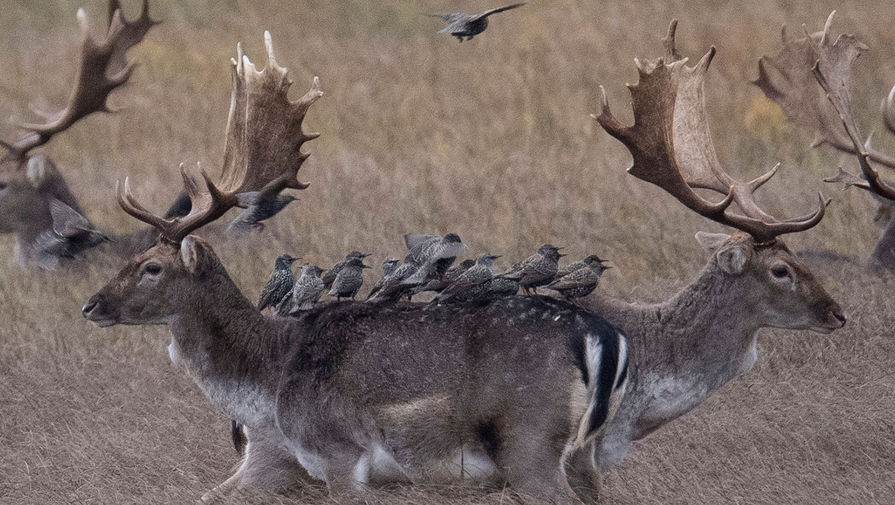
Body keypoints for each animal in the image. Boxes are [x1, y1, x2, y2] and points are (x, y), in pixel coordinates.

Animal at [82, 32, 632, 504]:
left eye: (152, 267)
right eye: (132, 260)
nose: (90, 304)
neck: (269, 379)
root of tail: (603, 335)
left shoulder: (338, 453)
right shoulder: (274, 460)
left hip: (528, 443)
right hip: (583, 455)